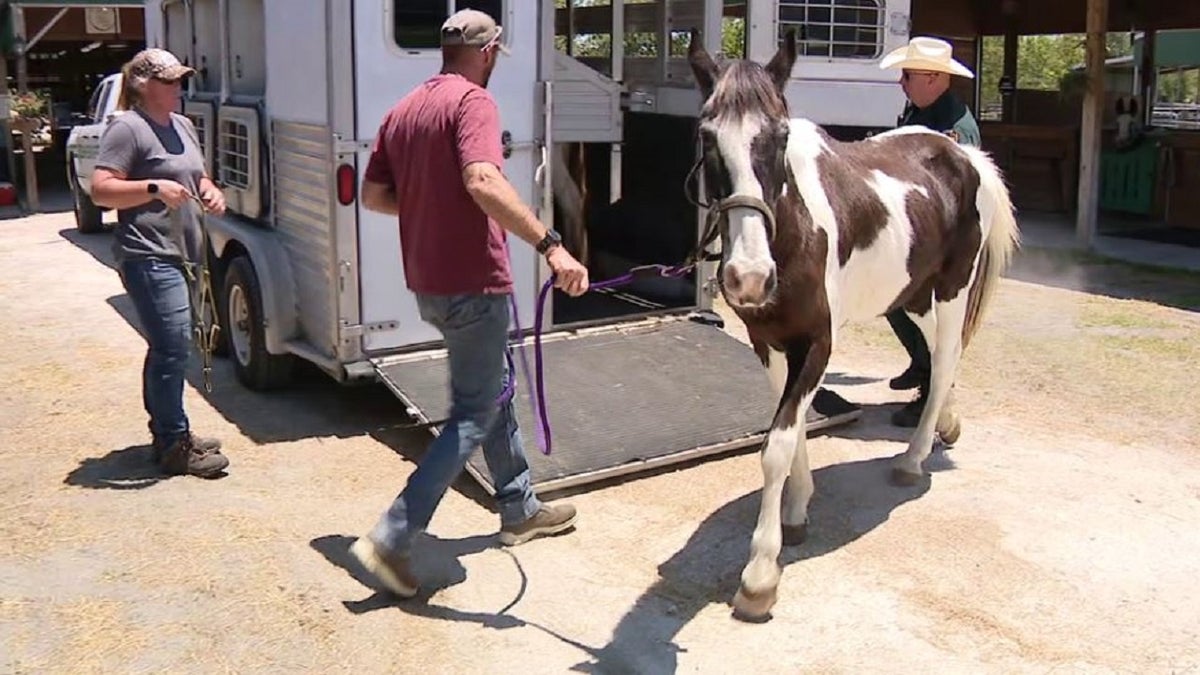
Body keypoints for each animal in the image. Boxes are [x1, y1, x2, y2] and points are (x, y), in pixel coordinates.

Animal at [691, 31, 1017, 619]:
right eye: (707, 137)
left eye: (779, 137)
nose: (748, 278)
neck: (792, 232)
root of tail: (965, 154)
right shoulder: (768, 343)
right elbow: (792, 429)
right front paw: (797, 511)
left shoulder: (819, 343)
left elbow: (777, 445)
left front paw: (760, 574)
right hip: (913, 294)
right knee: (938, 357)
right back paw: (945, 424)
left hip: (951, 290)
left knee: (946, 358)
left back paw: (913, 458)